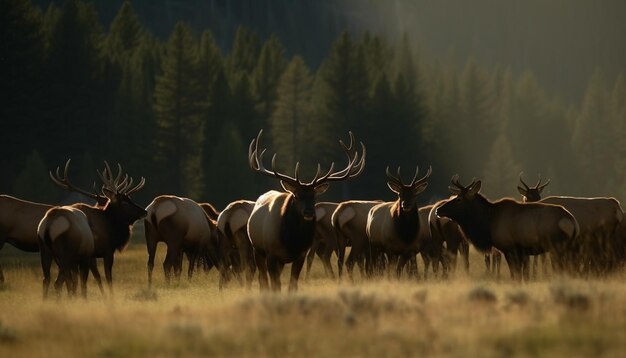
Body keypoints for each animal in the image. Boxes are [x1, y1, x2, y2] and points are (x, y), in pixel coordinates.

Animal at [245, 129, 364, 290]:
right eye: (296, 196)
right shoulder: (271, 253)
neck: (292, 241)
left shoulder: (300, 255)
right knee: (262, 279)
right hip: (257, 249)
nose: (309, 212)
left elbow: (292, 285)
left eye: (314, 196)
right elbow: (275, 285)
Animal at [434, 176, 576, 282]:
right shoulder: (520, 252)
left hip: (558, 247)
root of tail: (572, 221)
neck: (488, 223)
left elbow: (515, 275)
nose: (438, 209)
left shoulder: (510, 248)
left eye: (459, 199)